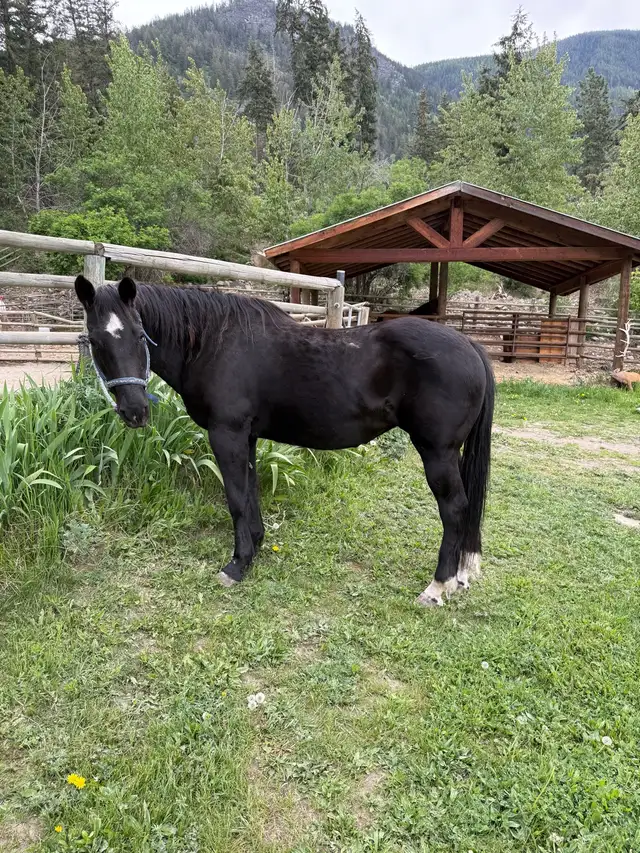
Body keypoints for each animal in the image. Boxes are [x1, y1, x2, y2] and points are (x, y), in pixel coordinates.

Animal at [74, 275, 494, 607]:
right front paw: (255, 547)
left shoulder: (226, 434)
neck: (214, 344)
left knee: (454, 509)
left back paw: (438, 586)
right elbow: (251, 493)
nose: (135, 411)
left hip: (437, 452)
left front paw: (236, 566)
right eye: (94, 339)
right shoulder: (246, 437)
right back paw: (458, 576)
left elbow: (235, 498)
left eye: (138, 334)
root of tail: (470, 345)